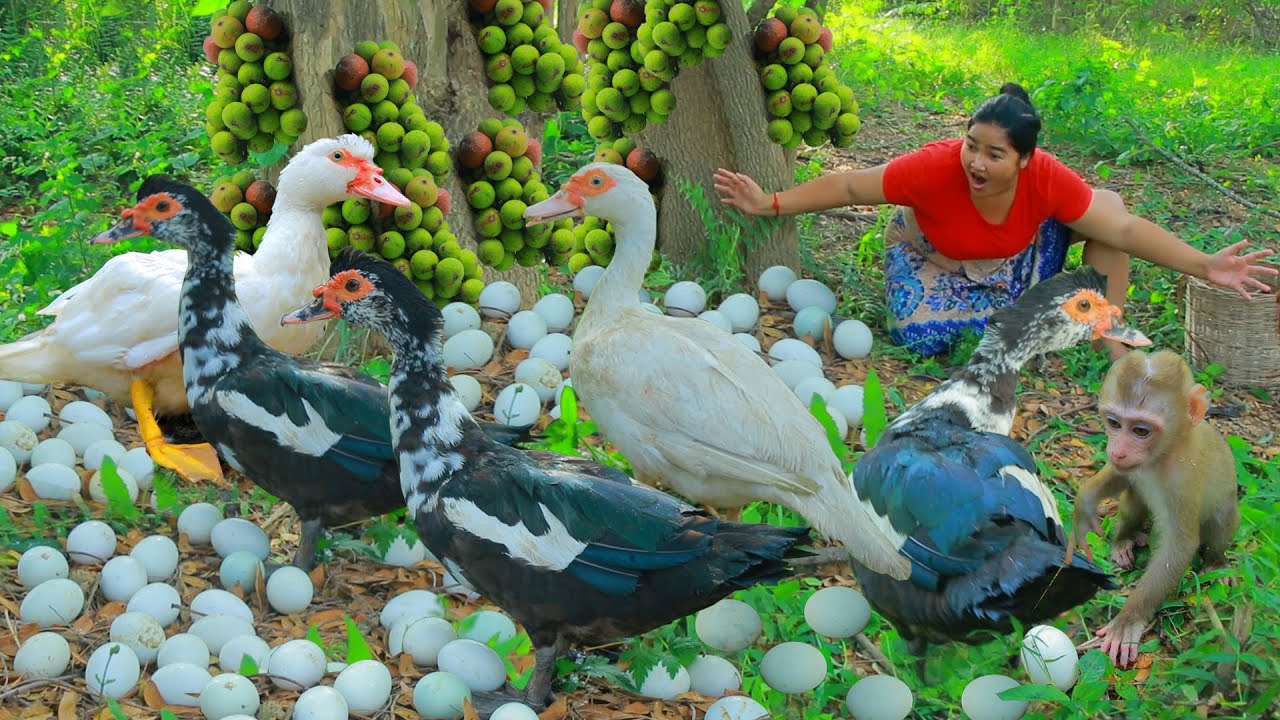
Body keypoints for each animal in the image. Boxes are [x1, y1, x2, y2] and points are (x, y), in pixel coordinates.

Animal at [1066, 349, 1240, 668]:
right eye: (1114, 423)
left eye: (1140, 430)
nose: (1118, 450)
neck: (1163, 455)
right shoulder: (1127, 464)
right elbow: (1120, 474)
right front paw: (1084, 504)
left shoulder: (1183, 479)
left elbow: (1179, 546)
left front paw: (1128, 620)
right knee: (1134, 494)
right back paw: (1125, 540)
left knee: (1222, 515)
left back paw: (1216, 561)